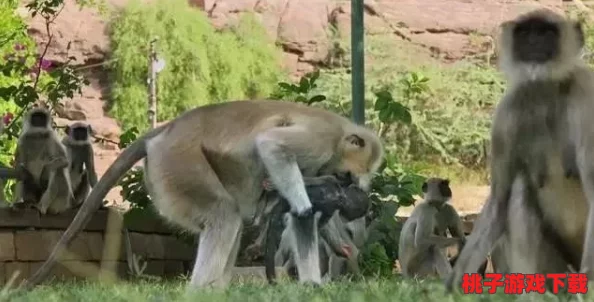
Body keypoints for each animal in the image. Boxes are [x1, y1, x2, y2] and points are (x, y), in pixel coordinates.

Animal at [24, 100, 384, 290]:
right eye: (352, 175)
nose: (353, 186)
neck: (338, 136)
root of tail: (166, 131)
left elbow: (300, 219)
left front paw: (312, 287)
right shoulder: (320, 140)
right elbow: (272, 146)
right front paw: (304, 207)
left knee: (231, 220)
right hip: (178, 164)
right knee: (224, 214)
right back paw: (201, 290)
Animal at [446, 9, 594, 292]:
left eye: (546, 32)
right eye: (525, 33)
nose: (534, 43)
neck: (546, 91)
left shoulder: (586, 97)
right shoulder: (507, 114)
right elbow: (499, 201)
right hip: (557, 273)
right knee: (520, 187)